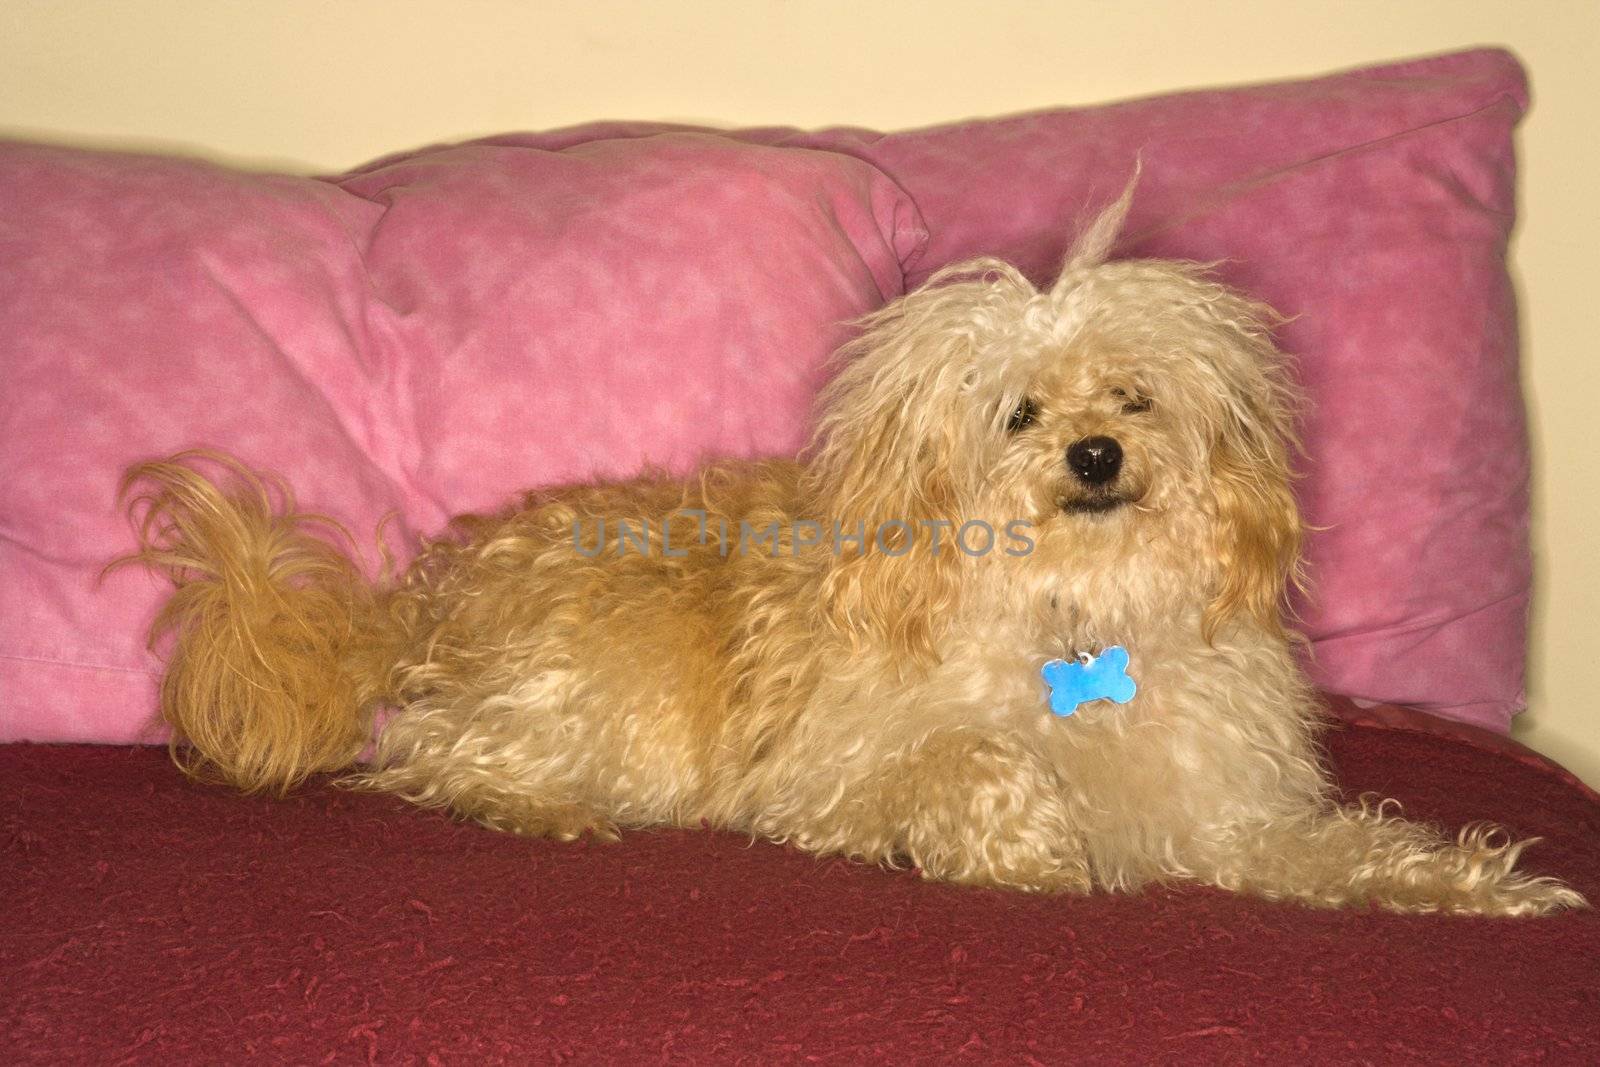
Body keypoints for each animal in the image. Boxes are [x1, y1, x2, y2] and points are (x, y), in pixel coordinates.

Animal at [118, 187, 1580, 915]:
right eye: (1020, 412)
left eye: (1135, 397)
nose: (1093, 456)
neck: (1072, 614)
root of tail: (417, 595)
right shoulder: (825, 782)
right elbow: (976, 761)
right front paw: (1026, 851)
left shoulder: (1227, 814)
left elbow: (1350, 852)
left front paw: (1479, 883)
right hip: (601, 699)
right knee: (432, 760)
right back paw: (547, 808)